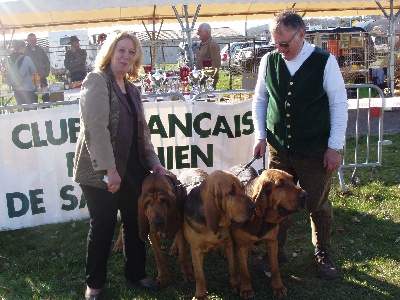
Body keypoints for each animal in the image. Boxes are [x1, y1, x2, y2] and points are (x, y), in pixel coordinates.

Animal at [182, 170, 255, 298]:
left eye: (242, 188)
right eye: (231, 191)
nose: (254, 206)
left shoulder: (229, 242)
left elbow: (233, 268)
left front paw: (236, 285)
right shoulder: (195, 250)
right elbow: (199, 276)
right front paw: (200, 294)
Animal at [230, 166, 308, 298]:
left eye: (293, 180)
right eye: (281, 185)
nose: (305, 195)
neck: (261, 219)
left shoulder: (272, 243)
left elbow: (275, 268)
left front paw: (278, 287)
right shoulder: (241, 246)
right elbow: (244, 271)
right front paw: (246, 289)